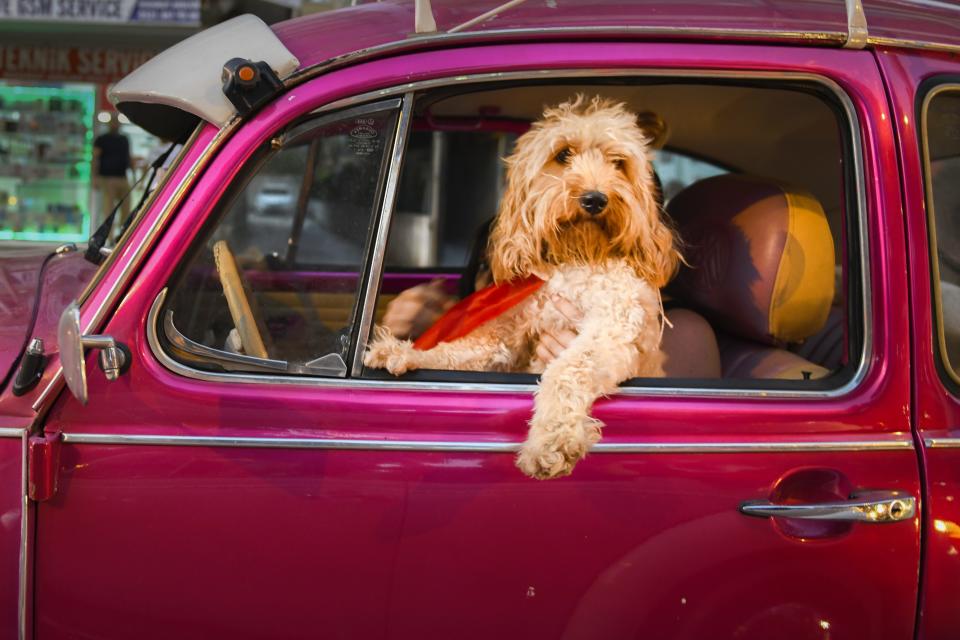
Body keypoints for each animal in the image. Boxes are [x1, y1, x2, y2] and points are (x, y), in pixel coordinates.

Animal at [364, 96, 680, 480]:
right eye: (563, 154)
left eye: (619, 163)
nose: (595, 199)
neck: (575, 258)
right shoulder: (508, 334)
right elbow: (459, 350)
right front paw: (404, 352)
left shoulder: (611, 330)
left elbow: (567, 371)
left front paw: (551, 443)